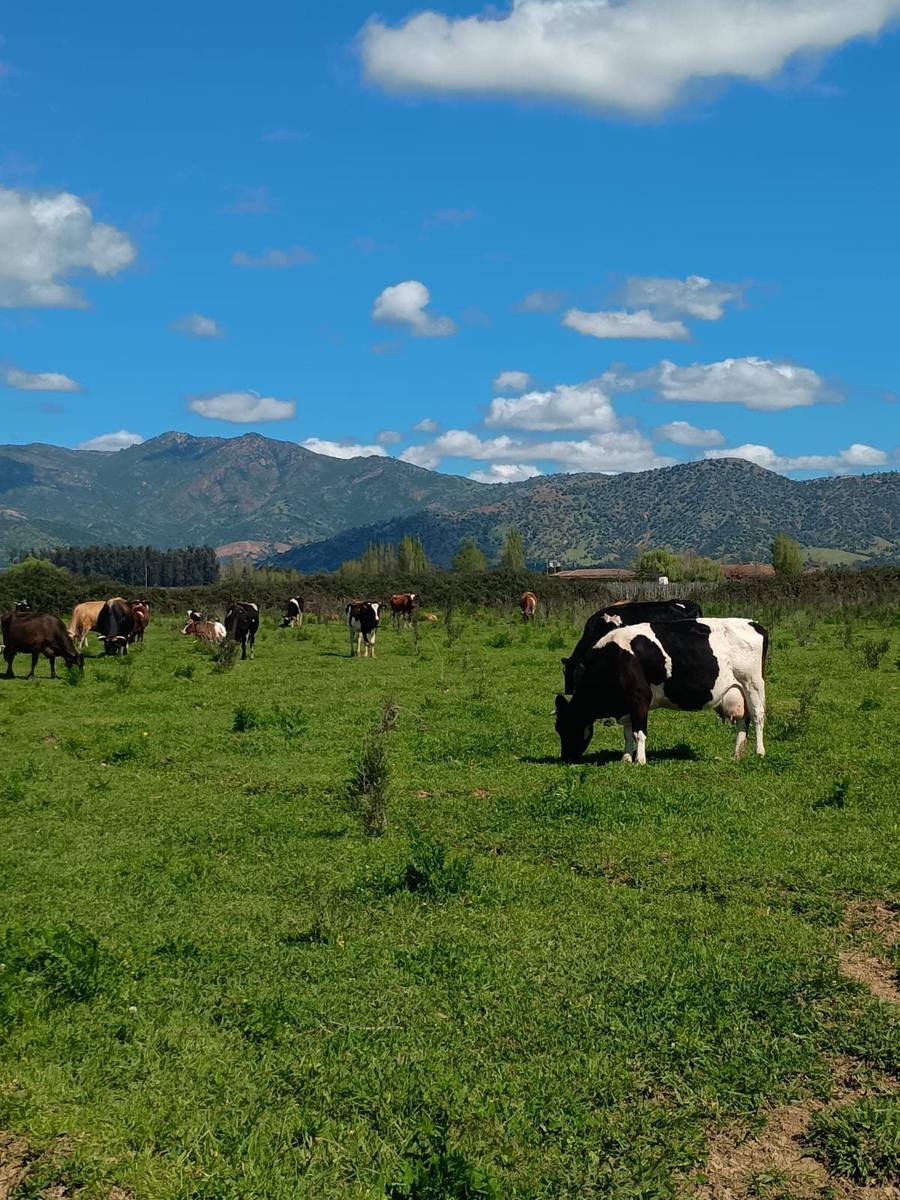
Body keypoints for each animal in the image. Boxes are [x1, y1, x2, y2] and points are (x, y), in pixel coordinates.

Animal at [555, 618, 767, 766]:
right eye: (558, 728)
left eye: (566, 726)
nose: (565, 758)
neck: (614, 658)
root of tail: (753, 623)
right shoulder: (628, 704)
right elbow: (628, 732)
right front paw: (626, 758)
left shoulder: (640, 697)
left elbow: (639, 732)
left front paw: (640, 760)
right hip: (739, 690)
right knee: (743, 721)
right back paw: (736, 755)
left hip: (753, 684)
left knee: (757, 716)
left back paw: (759, 752)